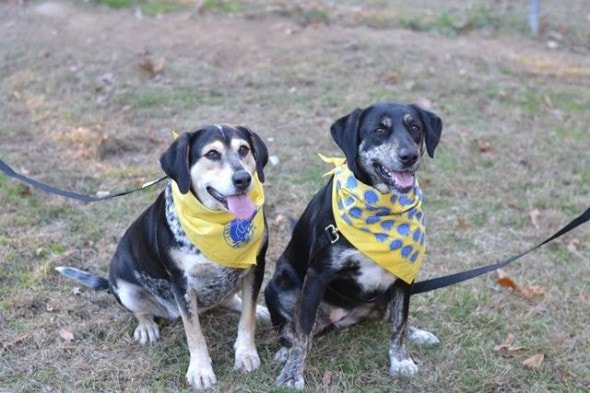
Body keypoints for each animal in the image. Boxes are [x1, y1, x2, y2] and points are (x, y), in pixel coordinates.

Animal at [56, 123, 270, 388]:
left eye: (244, 149)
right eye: (212, 154)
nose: (243, 179)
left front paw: (246, 353)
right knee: (141, 312)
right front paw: (200, 370)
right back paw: (146, 327)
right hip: (126, 290)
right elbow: (194, 334)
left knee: (232, 300)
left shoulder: (256, 267)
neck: (215, 221)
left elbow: (247, 319)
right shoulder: (181, 283)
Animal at [268, 102, 444, 388]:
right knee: (291, 327)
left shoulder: (405, 274)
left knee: (390, 317)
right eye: (380, 129)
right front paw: (292, 374)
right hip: (281, 286)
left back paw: (417, 333)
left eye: (415, 127)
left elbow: (400, 322)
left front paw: (401, 361)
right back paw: (286, 349)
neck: (380, 206)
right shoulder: (317, 275)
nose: (409, 156)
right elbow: (302, 331)